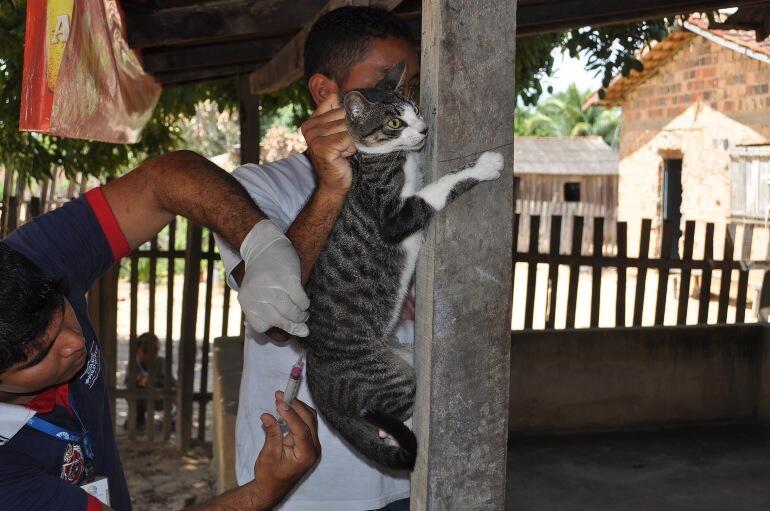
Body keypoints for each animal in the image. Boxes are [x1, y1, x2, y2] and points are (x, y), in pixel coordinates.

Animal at [300, 61, 504, 472]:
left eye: (415, 109)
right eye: (394, 122)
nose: (423, 130)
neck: (384, 157)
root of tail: (321, 394)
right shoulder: (392, 214)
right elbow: (436, 190)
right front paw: (484, 165)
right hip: (390, 379)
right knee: (394, 416)